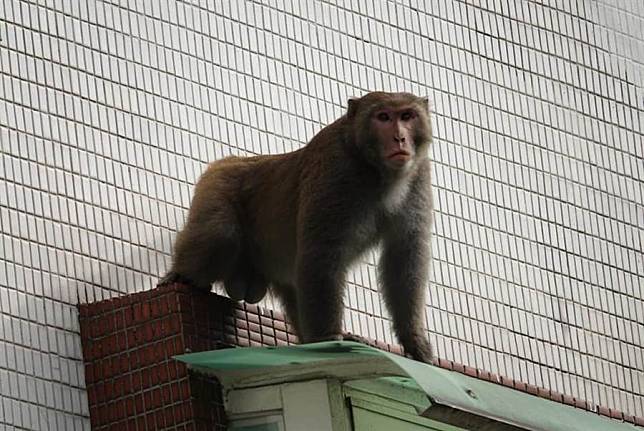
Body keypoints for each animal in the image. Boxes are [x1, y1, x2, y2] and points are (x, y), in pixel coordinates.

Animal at [158, 92, 436, 364]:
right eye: (383, 117)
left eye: (407, 116)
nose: (400, 138)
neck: (374, 168)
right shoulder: (336, 172)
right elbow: (321, 254)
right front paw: (329, 339)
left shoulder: (419, 175)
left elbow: (404, 259)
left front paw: (415, 343)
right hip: (217, 183)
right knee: (220, 234)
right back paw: (180, 276)